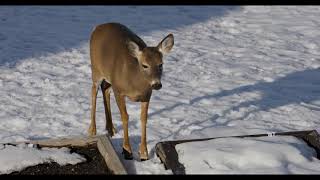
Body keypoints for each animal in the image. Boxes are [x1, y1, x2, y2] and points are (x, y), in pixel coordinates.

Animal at [88, 22, 175, 160]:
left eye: (161, 64)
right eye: (145, 65)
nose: (157, 84)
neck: (135, 85)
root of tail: (98, 26)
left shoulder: (147, 95)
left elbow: (144, 118)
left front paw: (144, 153)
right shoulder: (119, 90)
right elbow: (125, 117)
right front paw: (127, 151)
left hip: (109, 77)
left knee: (105, 88)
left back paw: (111, 129)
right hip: (96, 68)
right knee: (94, 91)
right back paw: (92, 130)